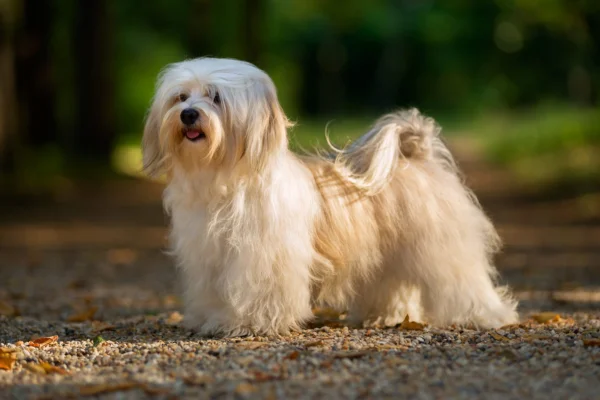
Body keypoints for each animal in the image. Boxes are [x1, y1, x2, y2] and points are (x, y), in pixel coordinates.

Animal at [143, 57, 516, 338]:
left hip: (442, 249)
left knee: (463, 282)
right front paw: (212, 319)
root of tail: (416, 153)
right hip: (387, 255)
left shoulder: (263, 258)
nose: (188, 114)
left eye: (216, 97)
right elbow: (213, 291)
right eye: (181, 97)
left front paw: (249, 324)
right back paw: (384, 316)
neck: (226, 179)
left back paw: (487, 316)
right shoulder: (208, 257)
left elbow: (258, 292)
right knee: (392, 285)